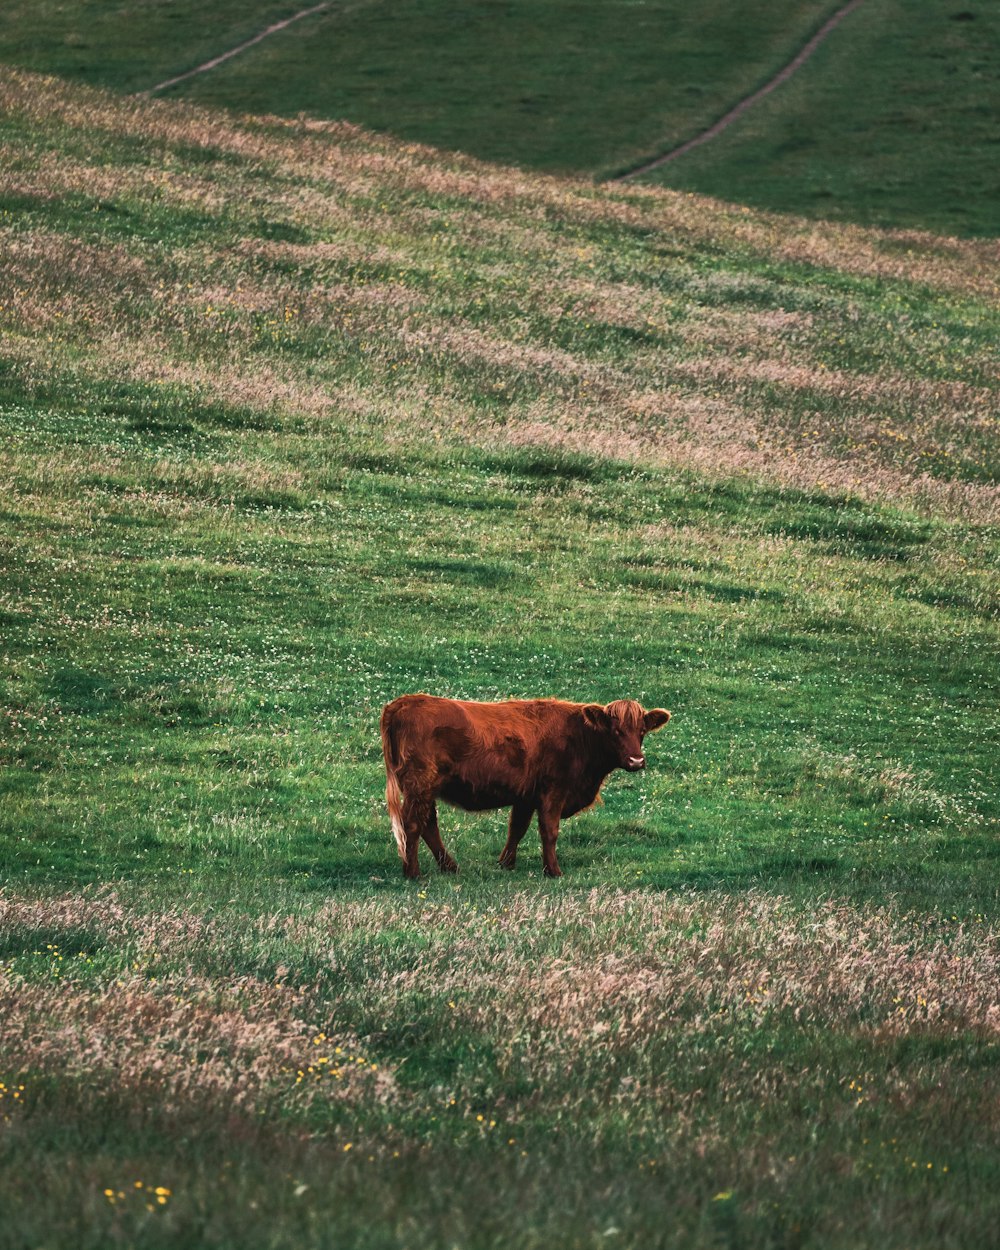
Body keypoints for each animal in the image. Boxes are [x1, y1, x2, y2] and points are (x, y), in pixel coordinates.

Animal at [380, 695, 670, 880]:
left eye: (642, 731)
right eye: (615, 731)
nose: (636, 761)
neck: (580, 737)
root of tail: (404, 702)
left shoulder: (525, 796)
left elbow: (517, 829)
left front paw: (506, 863)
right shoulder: (553, 792)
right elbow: (549, 831)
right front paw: (553, 871)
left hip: (425, 790)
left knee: (428, 825)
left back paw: (449, 867)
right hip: (420, 785)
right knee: (413, 825)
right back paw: (413, 873)